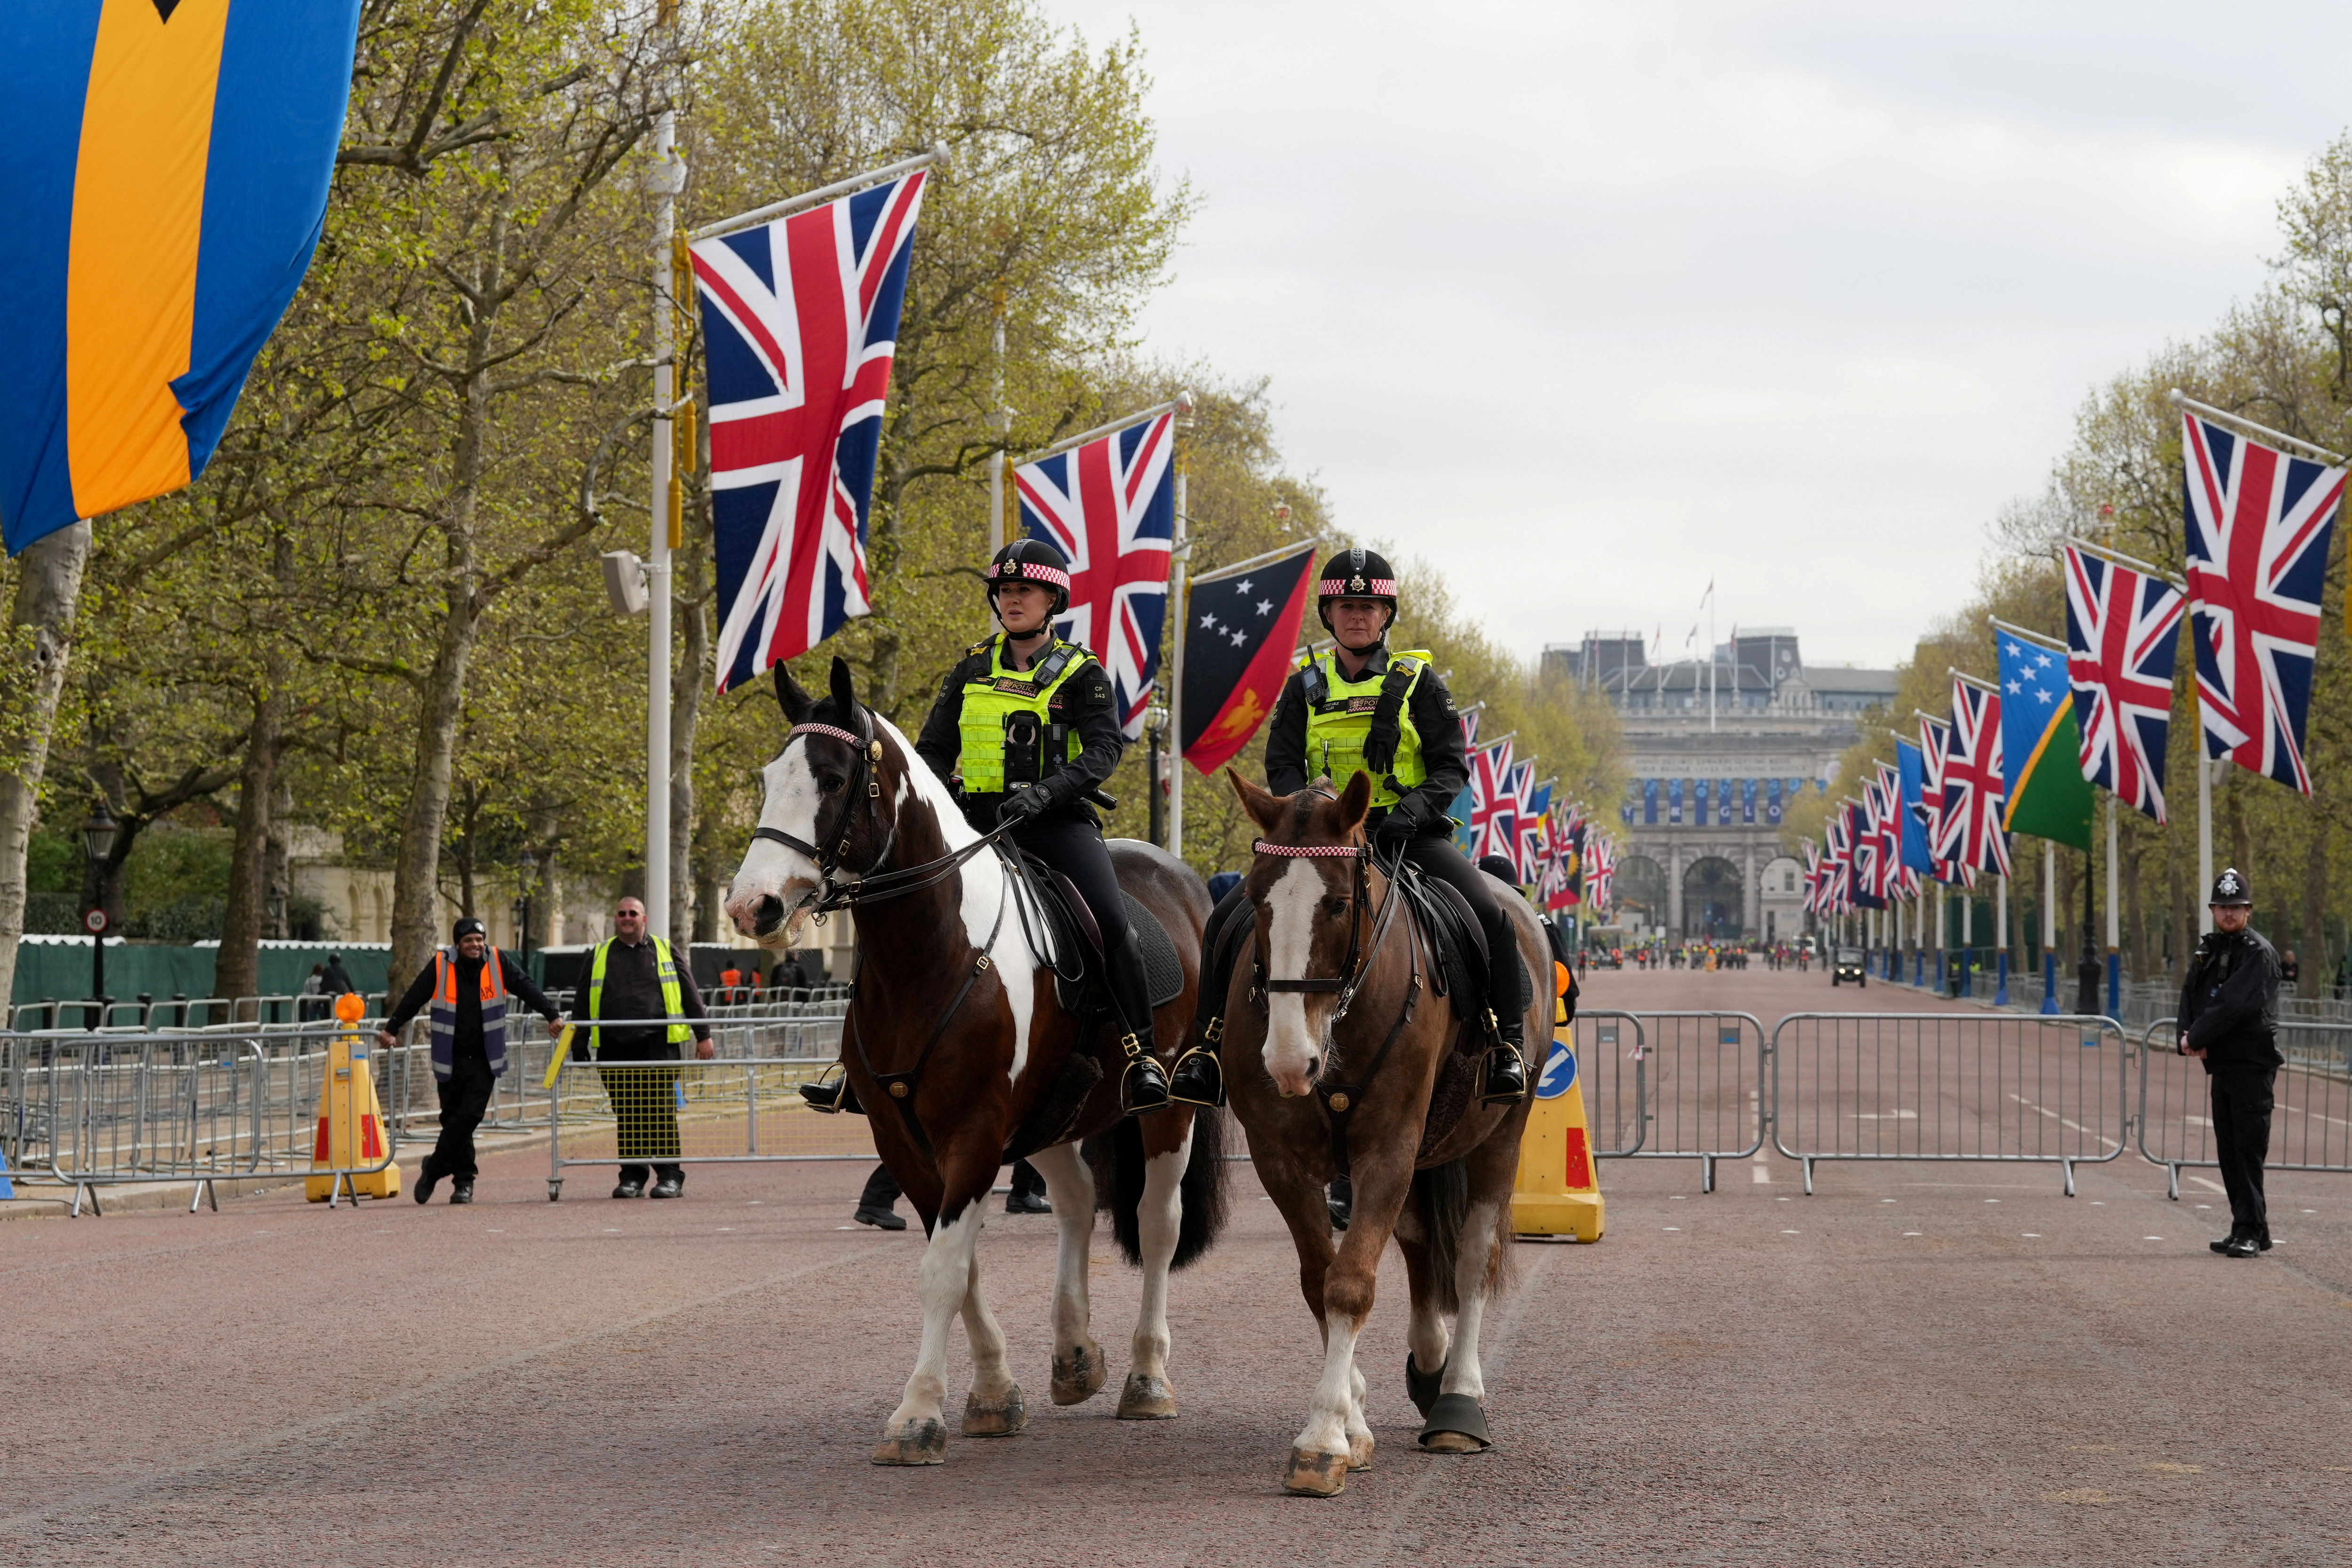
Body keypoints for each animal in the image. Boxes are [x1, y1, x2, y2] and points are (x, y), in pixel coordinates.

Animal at [724, 658, 1223, 1467]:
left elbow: (944, 1271)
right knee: (1079, 1199)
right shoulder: (907, 1137)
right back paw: (1075, 1354)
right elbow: (960, 1264)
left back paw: (1147, 1377)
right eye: (769, 776)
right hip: (1052, 1113)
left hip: (1166, 1110)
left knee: (1156, 1222)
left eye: (832, 778)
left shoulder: (975, 1129)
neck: (930, 954)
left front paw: (918, 1413)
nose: (752, 905)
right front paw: (992, 1392)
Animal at [1223, 771, 1534, 1495]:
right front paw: (1351, 1419)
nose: (1289, 1061)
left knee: (1472, 1257)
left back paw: (1460, 1400)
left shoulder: (1387, 1147)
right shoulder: (1280, 1159)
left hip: (1499, 1133)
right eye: (1254, 899)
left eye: (1338, 905)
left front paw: (1324, 1437)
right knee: (1420, 1245)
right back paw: (1430, 1366)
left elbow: (1351, 1282)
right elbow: (1322, 1278)